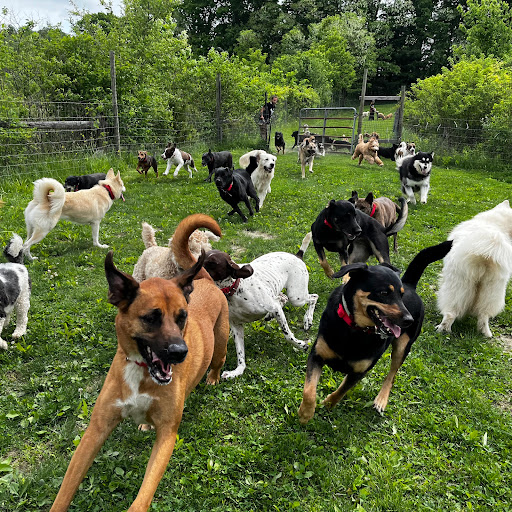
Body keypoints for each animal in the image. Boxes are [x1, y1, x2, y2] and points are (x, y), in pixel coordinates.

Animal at [49, 217, 228, 512]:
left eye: (182, 317)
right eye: (151, 318)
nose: (180, 352)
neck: (142, 373)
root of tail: (202, 279)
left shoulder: (167, 435)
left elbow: (144, 494)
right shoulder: (96, 429)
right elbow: (66, 487)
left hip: (222, 341)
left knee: (218, 360)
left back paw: (212, 377)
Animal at [298, 240, 454, 424]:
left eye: (401, 296)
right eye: (384, 293)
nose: (409, 320)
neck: (355, 329)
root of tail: (409, 284)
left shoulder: (359, 371)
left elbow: (342, 391)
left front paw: (328, 404)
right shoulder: (317, 355)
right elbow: (309, 390)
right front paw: (305, 413)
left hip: (403, 347)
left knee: (392, 375)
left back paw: (381, 399)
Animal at [434, 201, 512, 340]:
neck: (494, 222)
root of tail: (486, 256)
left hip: (458, 284)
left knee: (450, 312)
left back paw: (442, 329)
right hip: (492, 290)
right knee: (484, 315)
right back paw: (486, 333)